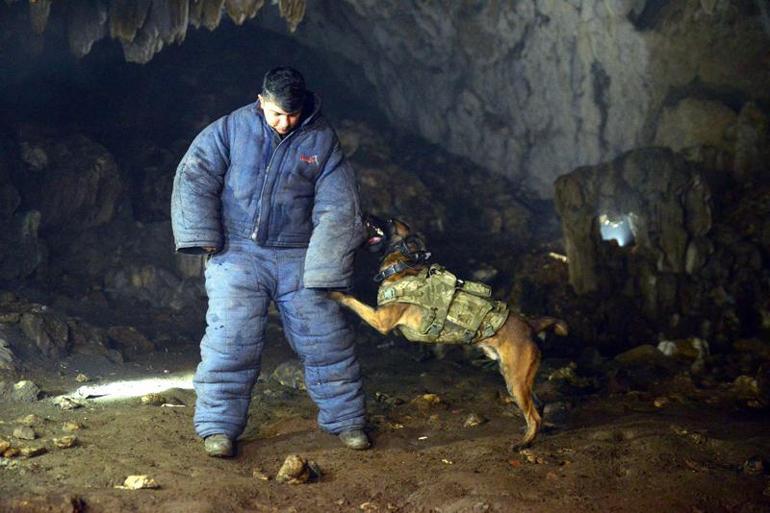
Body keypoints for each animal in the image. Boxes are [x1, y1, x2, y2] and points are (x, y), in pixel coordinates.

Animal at [328, 216, 568, 448]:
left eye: (387, 221)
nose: (365, 215)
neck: (402, 266)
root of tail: (529, 325)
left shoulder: (379, 320)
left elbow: (353, 301)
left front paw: (334, 293)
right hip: (515, 378)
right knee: (539, 407)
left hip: (516, 381)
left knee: (534, 415)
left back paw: (523, 443)